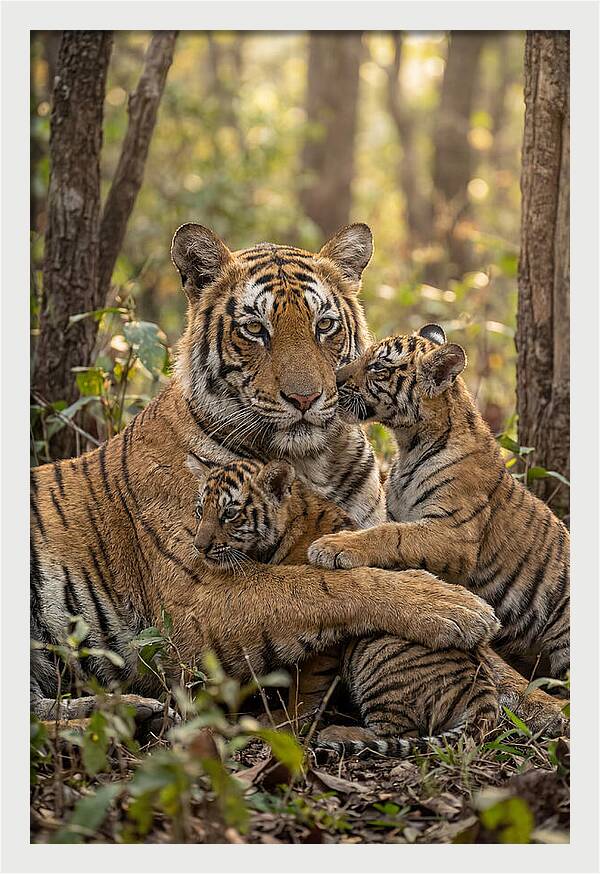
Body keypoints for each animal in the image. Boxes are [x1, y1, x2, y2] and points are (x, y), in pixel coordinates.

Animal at [30, 224, 500, 723]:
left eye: (324, 325)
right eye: (255, 329)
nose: (305, 398)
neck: (311, 460)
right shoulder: (197, 597)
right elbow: (319, 585)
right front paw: (454, 606)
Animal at [186, 453, 500, 756]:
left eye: (230, 513)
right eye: (200, 510)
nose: (199, 547)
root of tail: (484, 691)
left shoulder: (324, 634)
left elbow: (307, 686)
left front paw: (287, 721)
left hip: (376, 654)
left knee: (400, 732)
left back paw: (337, 733)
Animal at [308, 324, 570, 730]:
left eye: (378, 368)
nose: (333, 380)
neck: (409, 443)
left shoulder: (453, 533)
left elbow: (392, 536)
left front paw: (333, 547)